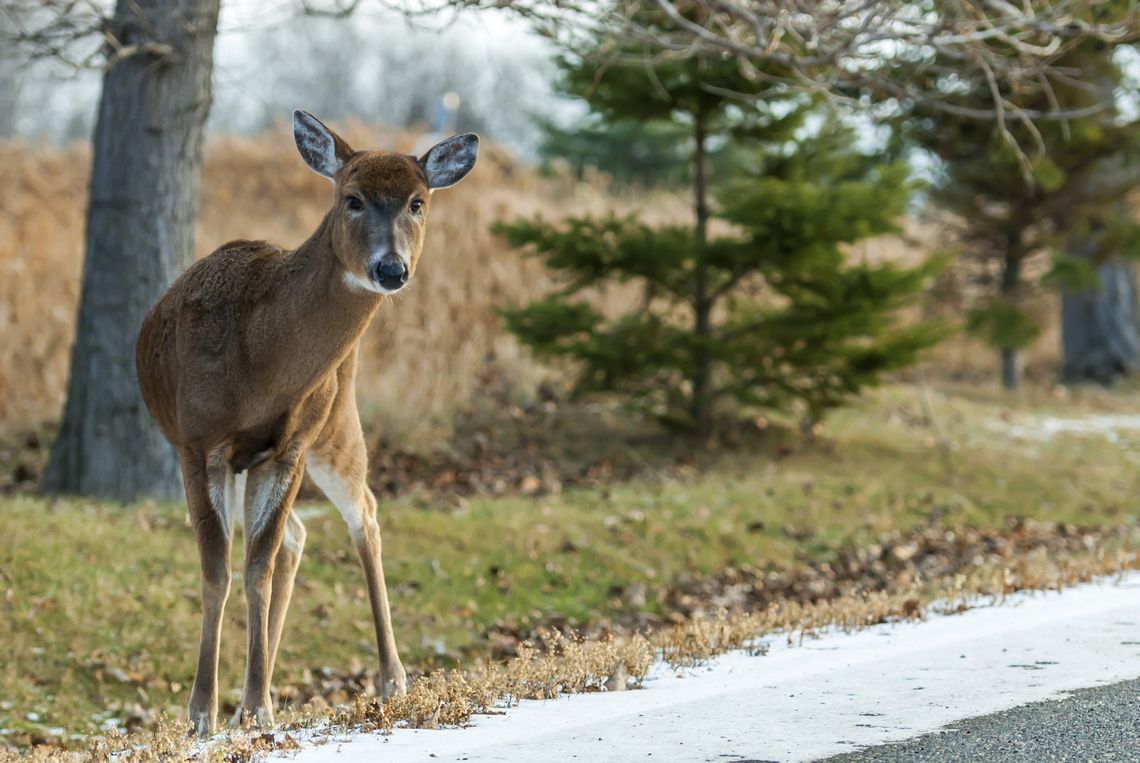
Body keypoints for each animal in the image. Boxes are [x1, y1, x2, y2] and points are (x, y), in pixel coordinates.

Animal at [135, 108, 478, 729]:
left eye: (418, 202)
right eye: (352, 198)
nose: (391, 268)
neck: (256, 365)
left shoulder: (290, 448)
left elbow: (255, 568)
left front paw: (256, 707)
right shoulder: (198, 445)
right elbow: (220, 570)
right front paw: (204, 713)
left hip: (335, 426)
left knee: (361, 514)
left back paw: (392, 680)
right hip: (257, 458)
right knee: (294, 537)